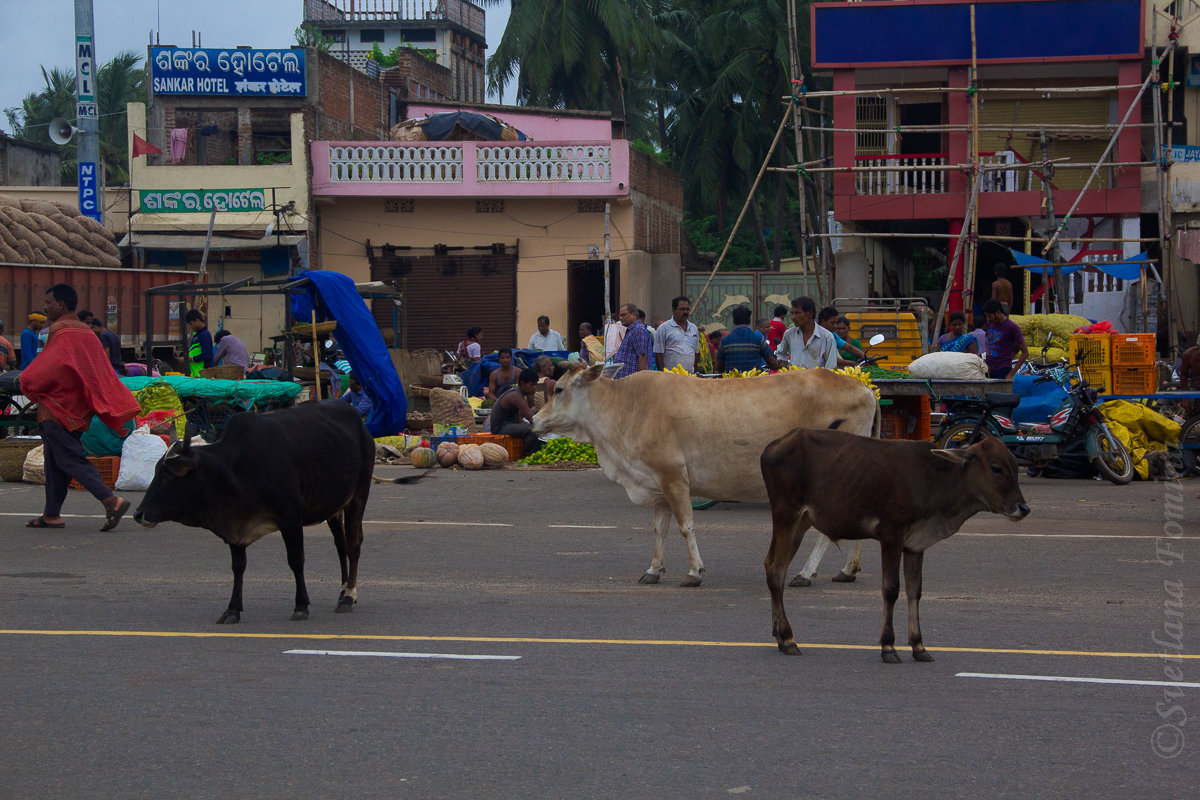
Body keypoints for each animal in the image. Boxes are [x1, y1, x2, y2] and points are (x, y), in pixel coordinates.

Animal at [132, 402, 417, 623]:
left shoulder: (290, 519)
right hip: (333, 508)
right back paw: (342, 590)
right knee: (341, 545)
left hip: (358, 495)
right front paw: (232, 610)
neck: (234, 469)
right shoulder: (236, 528)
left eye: (169, 475)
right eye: (156, 470)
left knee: (354, 543)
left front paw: (301, 605)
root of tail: (358, 422)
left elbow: (296, 561)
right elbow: (238, 567)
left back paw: (349, 597)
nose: (138, 514)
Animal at [530, 367, 878, 585]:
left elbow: (686, 526)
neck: (628, 407)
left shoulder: (673, 478)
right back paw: (848, 570)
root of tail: (864, 388)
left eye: (558, 389)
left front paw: (694, 572)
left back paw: (806, 573)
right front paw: (654, 569)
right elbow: (659, 529)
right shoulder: (657, 484)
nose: (533, 420)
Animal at [758, 424, 1032, 662]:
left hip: (801, 522)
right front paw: (888, 646)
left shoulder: (915, 545)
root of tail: (775, 444)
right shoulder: (891, 536)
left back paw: (780, 637)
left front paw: (919, 646)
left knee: (773, 566)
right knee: (776, 569)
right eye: (996, 468)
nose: (1023, 508)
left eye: (1015, 466)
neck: (934, 481)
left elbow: (914, 591)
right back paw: (788, 638)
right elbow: (891, 589)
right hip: (786, 514)